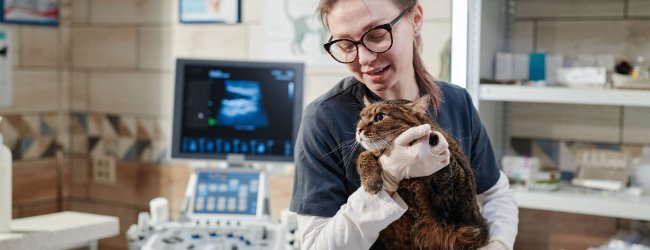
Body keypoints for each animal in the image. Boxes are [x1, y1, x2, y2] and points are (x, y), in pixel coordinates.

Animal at [354, 94, 486, 249]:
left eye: (380, 117)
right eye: (362, 117)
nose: (358, 129)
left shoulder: (463, 199)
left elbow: (449, 164)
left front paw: (432, 138)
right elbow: (364, 155)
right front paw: (371, 182)